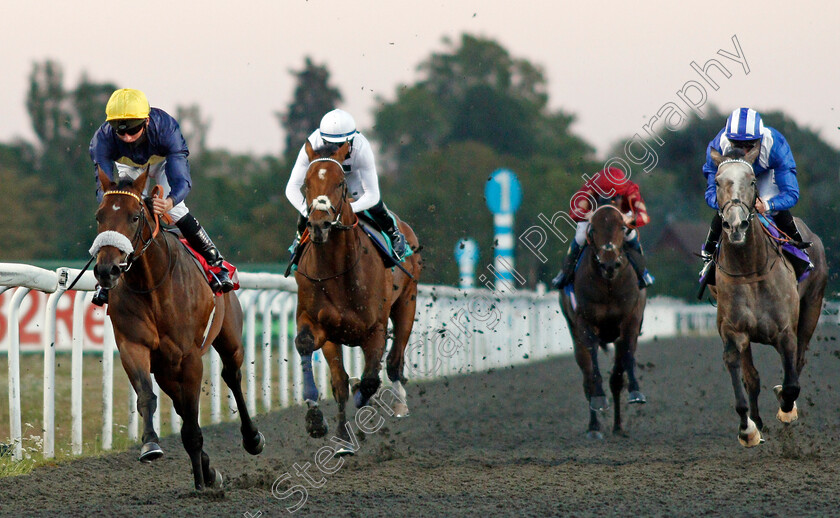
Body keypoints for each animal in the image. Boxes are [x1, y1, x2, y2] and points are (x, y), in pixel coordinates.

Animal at [91, 170, 262, 492]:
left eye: (134, 217)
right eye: (99, 216)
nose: (106, 270)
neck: (152, 284)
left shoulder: (189, 358)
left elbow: (193, 424)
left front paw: (200, 483)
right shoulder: (134, 346)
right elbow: (147, 396)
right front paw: (150, 445)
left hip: (229, 339)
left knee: (232, 377)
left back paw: (252, 438)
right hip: (166, 369)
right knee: (181, 405)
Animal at [296, 139, 424, 456]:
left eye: (340, 183)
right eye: (305, 184)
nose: (319, 225)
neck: (337, 271)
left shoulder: (375, 329)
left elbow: (369, 380)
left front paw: (362, 397)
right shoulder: (321, 326)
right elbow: (333, 376)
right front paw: (325, 426)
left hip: (408, 303)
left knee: (394, 360)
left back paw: (399, 404)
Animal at [560, 205, 648, 440]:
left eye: (622, 228)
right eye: (593, 230)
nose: (609, 263)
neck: (609, 285)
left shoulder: (630, 320)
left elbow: (626, 358)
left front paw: (636, 392)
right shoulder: (585, 323)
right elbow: (592, 369)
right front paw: (599, 399)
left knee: (616, 379)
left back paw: (617, 426)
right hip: (575, 336)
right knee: (586, 378)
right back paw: (594, 427)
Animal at [708, 146, 828, 446]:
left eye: (752, 181)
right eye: (717, 182)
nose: (735, 226)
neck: (749, 269)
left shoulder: (786, 332)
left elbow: (791, 383)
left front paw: (786, 410)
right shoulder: (732, 331)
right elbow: (743, 375)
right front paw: (748, 429)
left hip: (812, 308)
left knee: (799, 361)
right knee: (752, 375)